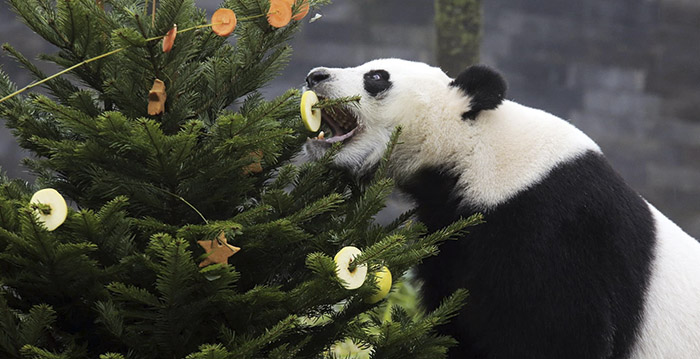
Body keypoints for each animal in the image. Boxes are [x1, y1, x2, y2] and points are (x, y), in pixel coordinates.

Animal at [304, 59, 700, 359]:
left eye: (376, 77)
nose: (315, 76)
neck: (473, 148)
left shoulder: (556, 230)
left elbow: (555, 332)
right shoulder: (455, 237)